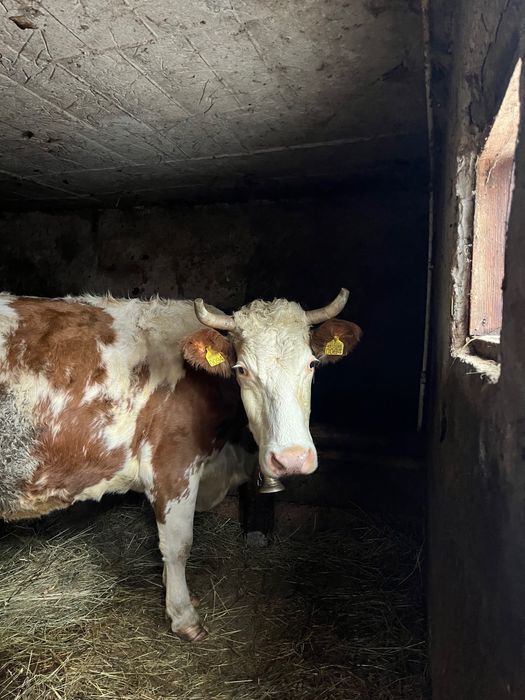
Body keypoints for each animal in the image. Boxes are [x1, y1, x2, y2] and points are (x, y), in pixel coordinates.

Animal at [0, 289, 361, 641]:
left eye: (312, 363)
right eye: (242, 369)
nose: (292, 458)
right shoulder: (173, 467)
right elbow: (178, 545)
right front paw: (183, 616)